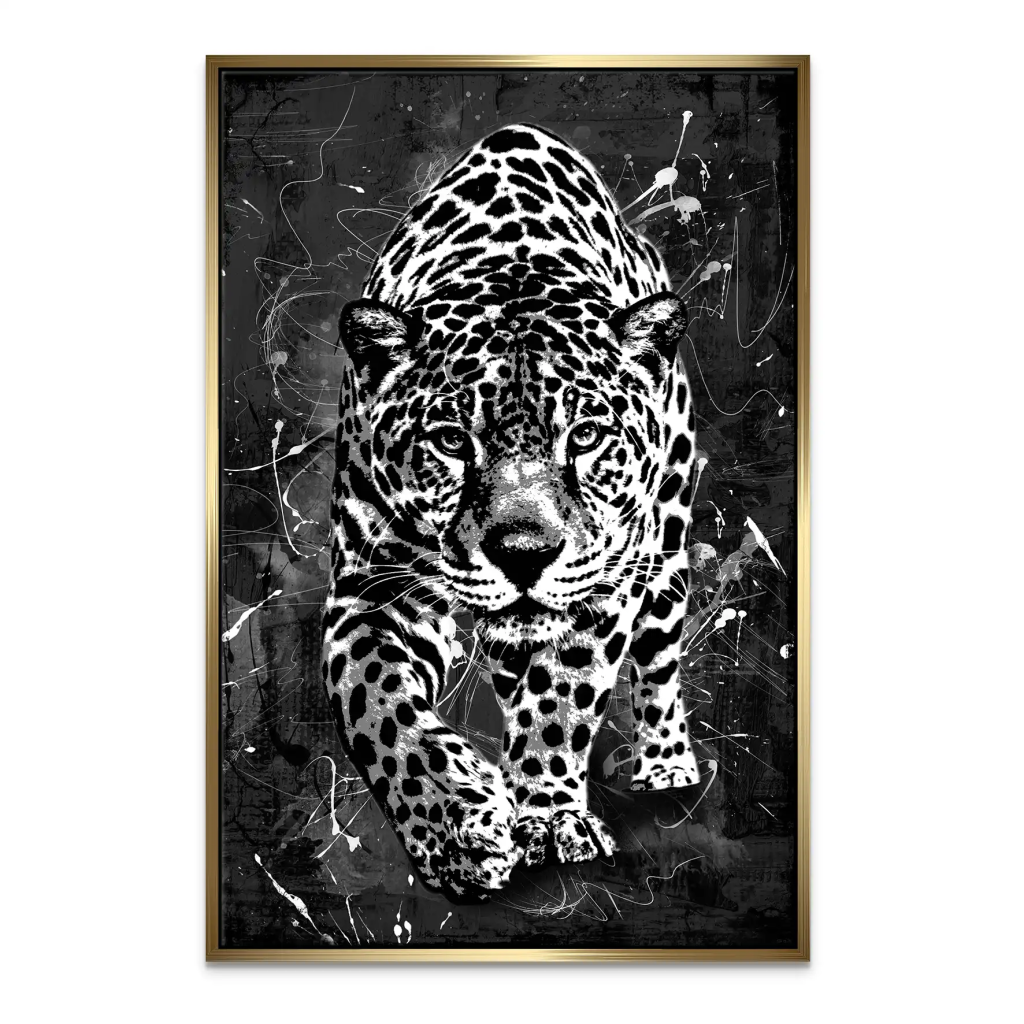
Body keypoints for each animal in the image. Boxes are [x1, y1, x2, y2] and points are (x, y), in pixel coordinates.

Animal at [320, 123, 701, 903]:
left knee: (658, 663)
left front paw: (549, 817)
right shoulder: (371, 592)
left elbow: (560, 699)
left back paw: (667, 765)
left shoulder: (603, 587)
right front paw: (456, 830)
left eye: (583, 436)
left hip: (667, 551)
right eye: (450, 440)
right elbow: (377, 707)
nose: (524, 553)